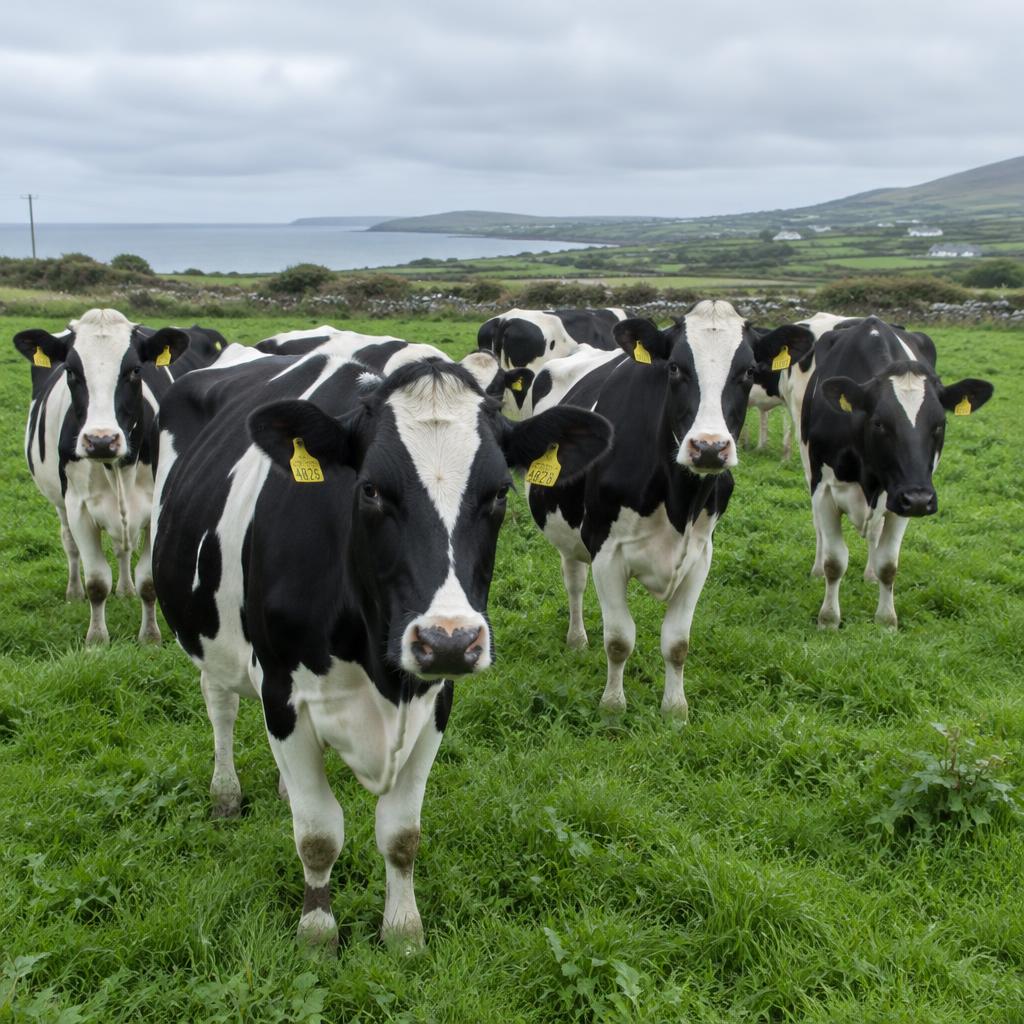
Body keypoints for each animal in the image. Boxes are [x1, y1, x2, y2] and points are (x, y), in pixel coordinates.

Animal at [13, 309, 193, 643]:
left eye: (135, 370)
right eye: (71, 371)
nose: (100, 440)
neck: (117, 467)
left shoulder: (154, 507)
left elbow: (148, 582)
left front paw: (150, 635)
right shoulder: (79, 508)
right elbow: (96, 582)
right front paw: (96, 638)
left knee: (122, 549)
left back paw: (125, 589)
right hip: (60, 502)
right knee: (70, 544)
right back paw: (74, 592)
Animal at [150, 345, 612, 948]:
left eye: (498, 493)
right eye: (369, 489)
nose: (447, 640)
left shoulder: (434, 699)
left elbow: (401, 833)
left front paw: (403, 930)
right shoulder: (282, 694)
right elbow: (318, 834)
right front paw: (317, 932)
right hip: (208, 632)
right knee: (221, 706)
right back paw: (225, 792)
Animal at [524, 300, 813, 717]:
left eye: (749, 371)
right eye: (675, 368)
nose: (709, 447)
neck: (678, 500)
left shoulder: (700, 555)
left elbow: (677, 643)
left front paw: (675, 709)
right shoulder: (607, 551)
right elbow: (619, 640)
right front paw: (612, 706)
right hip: (569, 530)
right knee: (574, 582)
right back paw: (577, 639)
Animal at [802, 315, 993, 629]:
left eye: (940, 424)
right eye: (879, 423)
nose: (919, 500)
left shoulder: (901, 495)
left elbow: (888, 564)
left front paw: (886, 619)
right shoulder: (825, 489)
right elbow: (835, 561)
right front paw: (828, 619)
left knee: (875, 534)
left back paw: (869, 574)